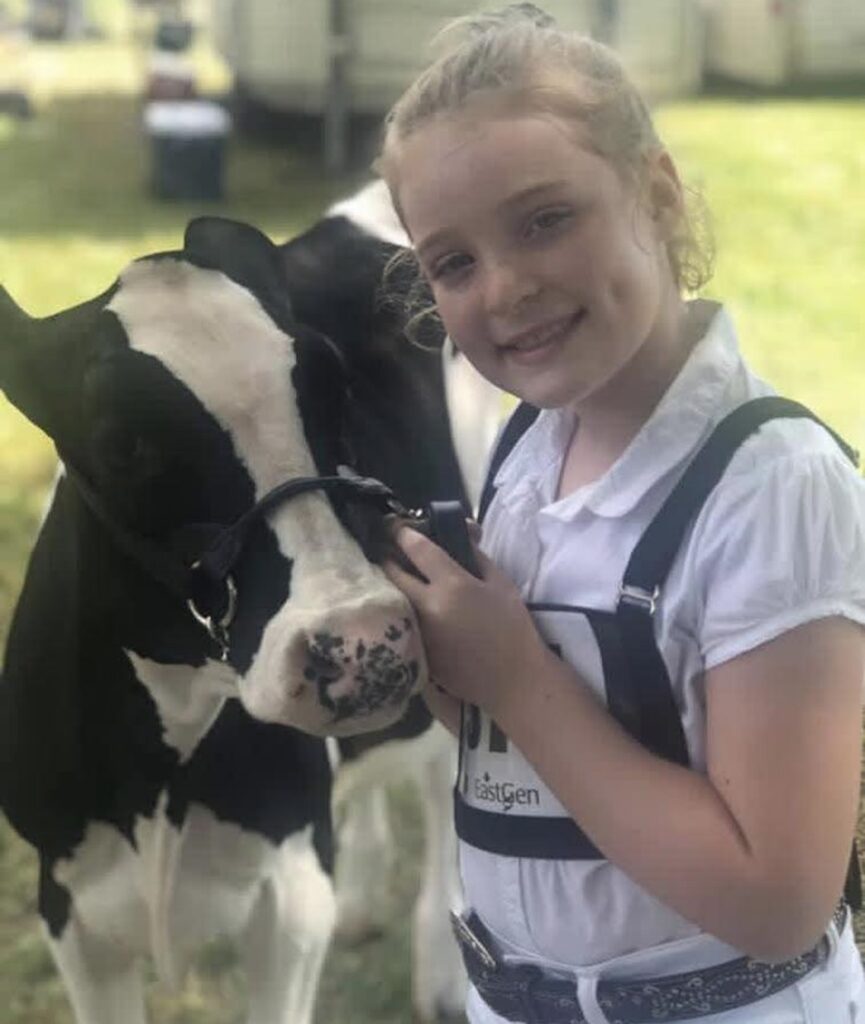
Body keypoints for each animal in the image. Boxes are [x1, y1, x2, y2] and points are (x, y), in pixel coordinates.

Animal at [0, 186, 502, 1023]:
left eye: (333, 385)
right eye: (121, 445)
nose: (365, 639)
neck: (158, 778)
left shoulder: (290, 895)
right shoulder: (68, 903)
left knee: (441, 791)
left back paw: (439, 975)